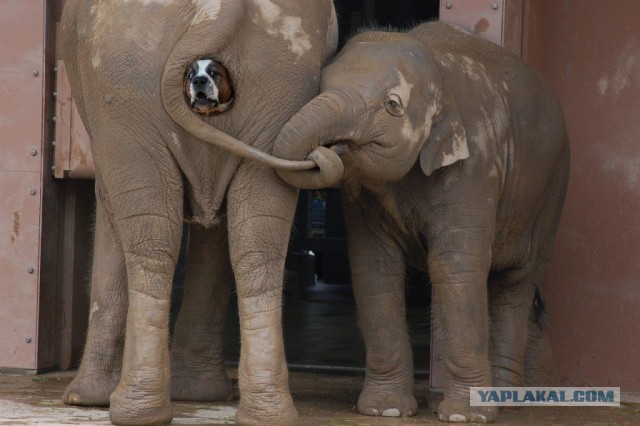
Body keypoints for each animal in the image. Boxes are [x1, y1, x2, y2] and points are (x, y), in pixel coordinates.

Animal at [59, 1, 340, 424]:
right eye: (194, 74)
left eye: (213, 74)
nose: (200, 81)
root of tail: (215, 10)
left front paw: (83, 401)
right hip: (280, 85)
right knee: (254, 243)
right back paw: (262, 414)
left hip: (123, 86)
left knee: (153, 240)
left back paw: (134, 409)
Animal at [272, 22, 568, 422]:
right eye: (320, 85)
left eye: (393, 105)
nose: (327, 150)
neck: (438, 73)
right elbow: (374, 267)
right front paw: (385, 410)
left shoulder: (476, 166)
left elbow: (455, 267)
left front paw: (464, 416)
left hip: (549, 197)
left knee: (515, 284)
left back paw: (506, 400)